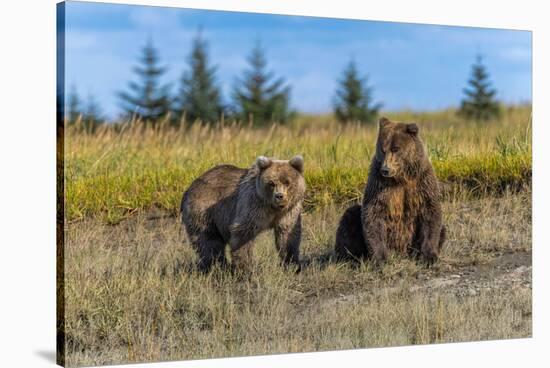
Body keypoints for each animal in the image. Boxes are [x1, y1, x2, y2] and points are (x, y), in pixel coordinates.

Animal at [336, 118, 448, 264]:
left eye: (396, 149)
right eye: (383, 149)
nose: (385, 169)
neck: (401, 177)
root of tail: (401, 252)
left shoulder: (421, 181)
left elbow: (430, 213)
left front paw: (429, 256)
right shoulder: (378, 183)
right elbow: (373, 213)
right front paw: (381, 258)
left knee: (443, 229)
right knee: (350, 216)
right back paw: (350, 258)